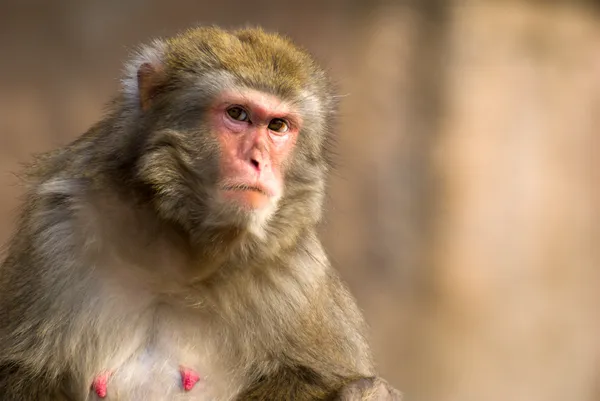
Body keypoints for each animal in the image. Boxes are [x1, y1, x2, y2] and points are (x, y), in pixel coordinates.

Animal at [0, 26, 404, 398]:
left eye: (278, 126)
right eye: (238, 114)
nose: (259, 162)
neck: (179, 252)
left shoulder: (297, 274)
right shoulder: (59, 228)